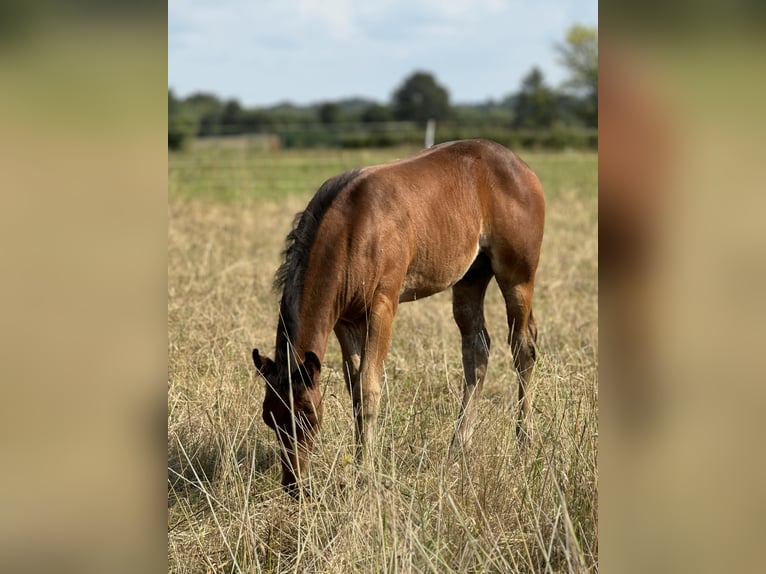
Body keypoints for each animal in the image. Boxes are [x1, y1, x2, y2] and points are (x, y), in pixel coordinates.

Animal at [252, 138, 544, 496]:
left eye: (308, 414)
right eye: (269, 417)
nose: (293, 485)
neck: (352, 226)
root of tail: (520, 166)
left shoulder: (383, 306)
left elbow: (369, 387)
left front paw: (364, 474)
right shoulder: (344, 320)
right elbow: (355, 389)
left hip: (517, 276)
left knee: (522, 348)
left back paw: (524, 444)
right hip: (470, 277)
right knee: (477, 350)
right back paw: (457, 450)